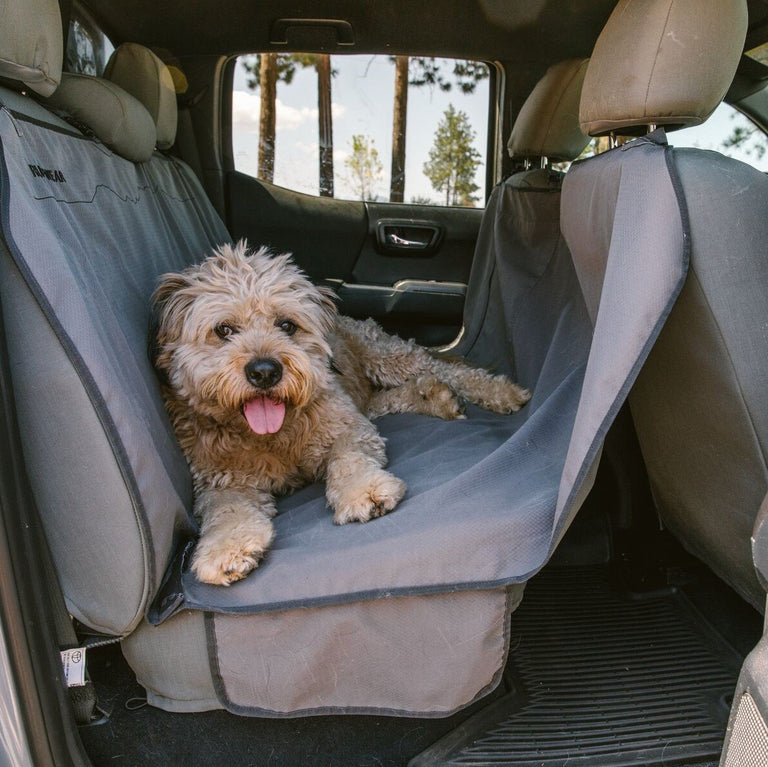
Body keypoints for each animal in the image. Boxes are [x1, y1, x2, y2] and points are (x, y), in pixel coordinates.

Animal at [153, 243, 532, 584]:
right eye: (224, 330)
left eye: (287, 325)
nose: (264, 371)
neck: (274, 435)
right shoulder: (221, 479)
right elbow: (225, 510)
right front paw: (225, 551)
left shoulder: (346, 425)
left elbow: (347, 459)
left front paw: (362, 492)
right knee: (392, 398)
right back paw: (436, 398)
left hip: (387, 357)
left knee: (447, 371)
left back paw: (501, 393)